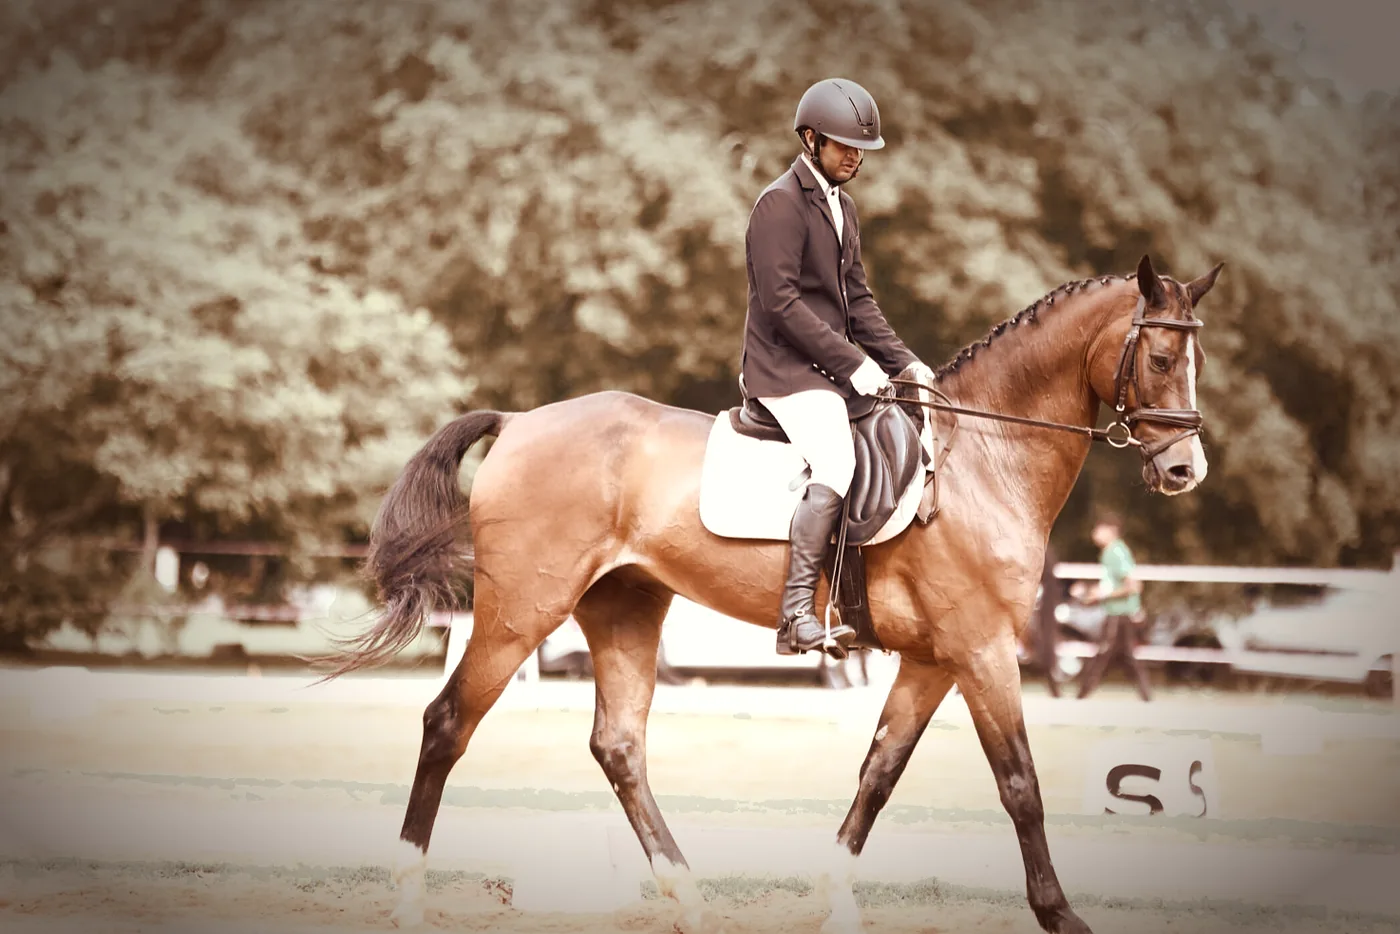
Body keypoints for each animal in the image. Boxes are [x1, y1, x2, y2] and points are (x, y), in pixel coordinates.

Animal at [322, 253, 1222, 934]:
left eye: (1195, 363)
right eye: (1160, 359)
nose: (1186, 471)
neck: (982, 455)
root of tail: (518, 421)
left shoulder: (932, 660)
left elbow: (879, 774)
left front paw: (837, 907)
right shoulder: (982, 651)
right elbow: (1021, 785)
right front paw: (1060, 915)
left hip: (624, 609)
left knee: (619, 747)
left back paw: (690, 899)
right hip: (520, 611)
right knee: (447, 724)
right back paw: (407, 901)